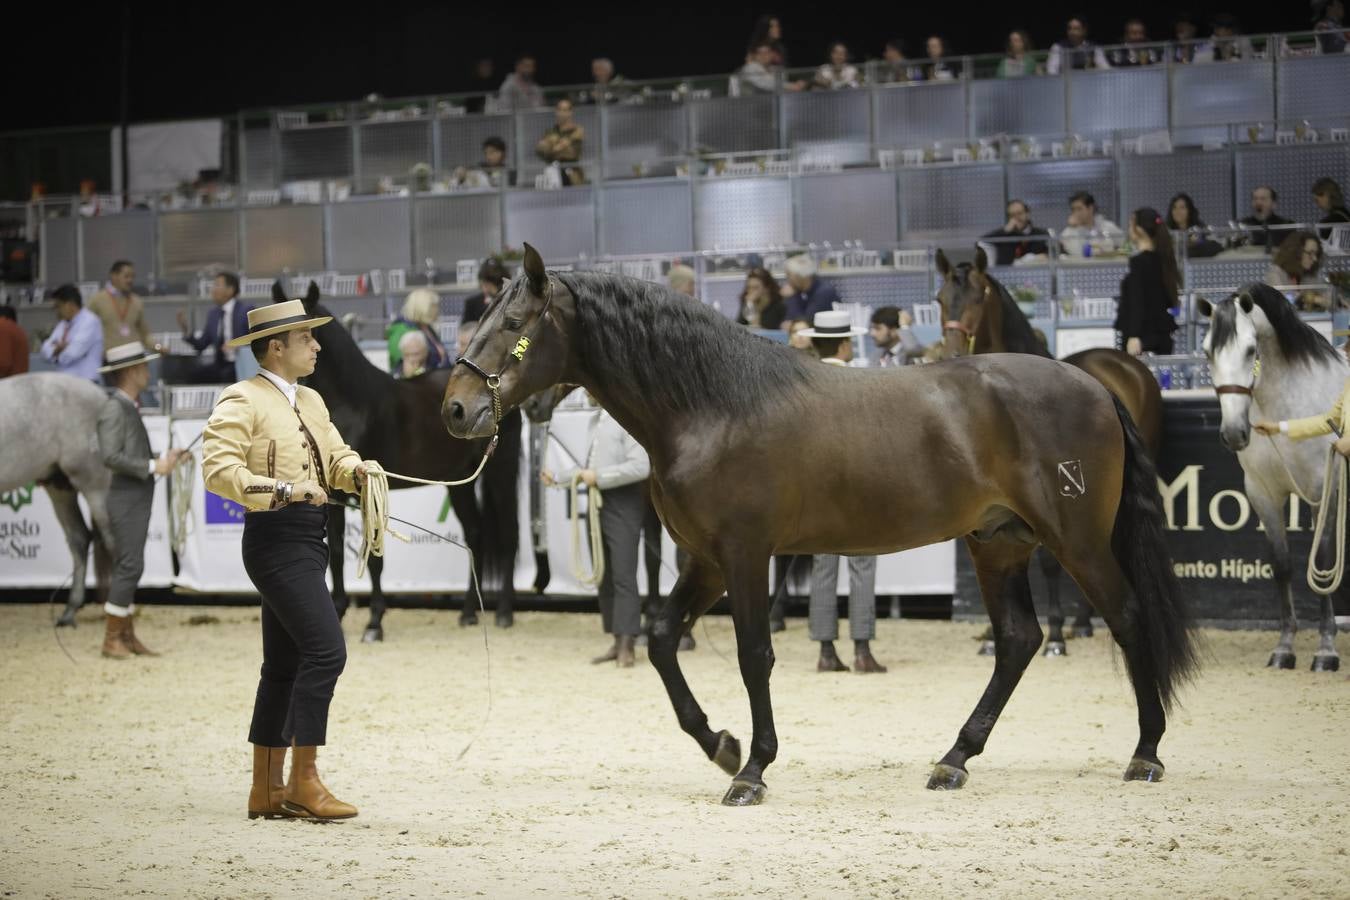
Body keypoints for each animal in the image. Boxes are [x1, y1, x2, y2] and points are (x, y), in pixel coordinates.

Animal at [0, 373, 114, 626]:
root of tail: (102, 395)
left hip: (95, 487)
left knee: (113, 541)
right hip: (60, 487)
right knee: (79, 539)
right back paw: (70, 611)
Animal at [274, 283, 521, 639]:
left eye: (306, 329)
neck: (354, 403)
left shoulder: (370, 486)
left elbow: (376, 558)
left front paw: (375, 623)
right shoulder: (333, 493)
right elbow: (336, 551)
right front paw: (339, 610)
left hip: (502, 471)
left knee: (509, 533)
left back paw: (503, 613)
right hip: (458, 482)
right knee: (475, 534)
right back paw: (467, 613)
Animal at [936, 249, 1164, 655]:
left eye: (978, 298)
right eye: (939, 299)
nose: (952, 352)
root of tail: (1127, 363)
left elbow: (1048, 564)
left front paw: (1055, 634)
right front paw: (991, 637)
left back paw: (1081, 623)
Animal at [1198, 284, 1343, 672]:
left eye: (1251, 349)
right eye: (1207, 352)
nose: (1234, 433)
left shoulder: (1322, 491)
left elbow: (1323, 563)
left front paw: (1326, 650)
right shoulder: (1263, 493)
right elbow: (1282, 565)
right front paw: (1285, 647)